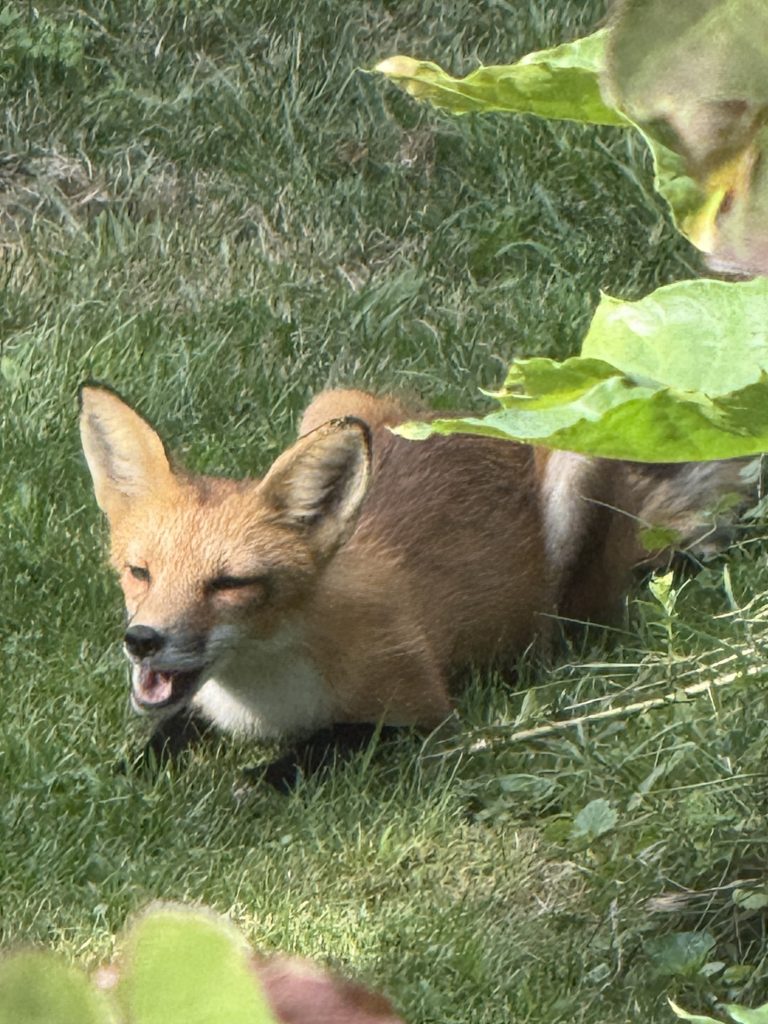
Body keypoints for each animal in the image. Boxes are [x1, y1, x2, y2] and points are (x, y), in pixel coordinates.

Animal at [79, 384, 752, 779]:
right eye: (140, 572)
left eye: (229, 584)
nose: (142, 640)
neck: (264, 696)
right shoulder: (196, 706)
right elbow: (160, 736)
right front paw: (129, 770)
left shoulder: (422, 712)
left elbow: (331, 743)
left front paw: (262, 778)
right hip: (334, 399)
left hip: (574, 481)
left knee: (570, 626)